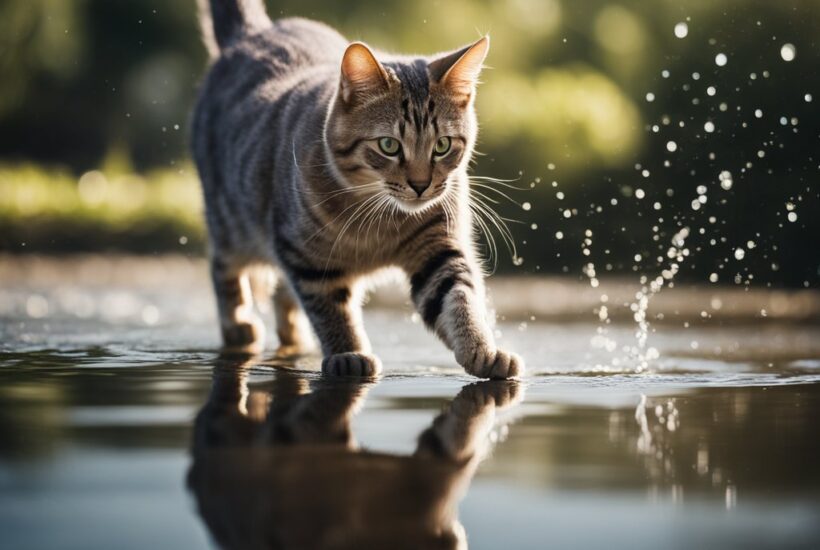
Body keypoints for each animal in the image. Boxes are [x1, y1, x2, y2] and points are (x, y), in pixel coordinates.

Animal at [193, 0, 524, 380]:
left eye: (442, 146)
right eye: (388, 145)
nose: (421, 185)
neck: (379, 220)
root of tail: (254, 33)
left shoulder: (438, 245)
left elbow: (458, 298)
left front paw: (482, 349)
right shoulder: (306, 258)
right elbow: (331, 310)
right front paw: (348, 352)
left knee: (282, 293)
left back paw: (293, 333)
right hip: (231, 221)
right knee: (224, 268)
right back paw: (238, 324)